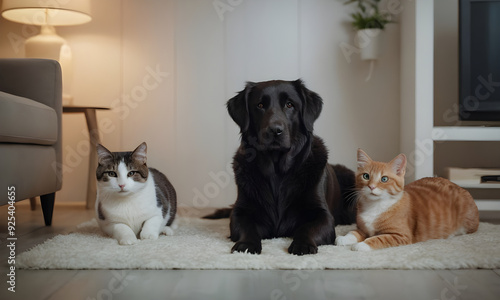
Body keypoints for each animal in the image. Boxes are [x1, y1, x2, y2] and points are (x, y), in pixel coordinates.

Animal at [204, 78, 356, 254]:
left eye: (289, 105)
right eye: (260, 105)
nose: (275, 130)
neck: (277, 171)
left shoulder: (323, 215)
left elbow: (307, 228)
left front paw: (303, 245)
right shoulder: (240, 211)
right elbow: (247, 227)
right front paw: (247, 245)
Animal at [334, 149, 478, 251]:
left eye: (384, 179)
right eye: (366, 176)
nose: (372, 186)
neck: (375, 206)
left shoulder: (401, 235)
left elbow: (379, 238)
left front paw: (363, 245)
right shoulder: (362, 228)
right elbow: (353, 232)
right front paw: (344, 238)